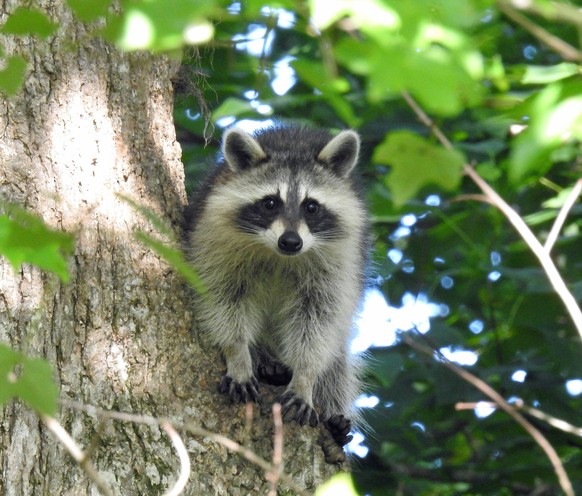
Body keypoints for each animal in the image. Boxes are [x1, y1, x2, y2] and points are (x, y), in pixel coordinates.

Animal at [185, 124, 372, 454]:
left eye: (311, 207)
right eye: (271, 202)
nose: (291, 242)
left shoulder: (340, 258)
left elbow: (320, 320)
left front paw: (305, 377)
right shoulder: (212, 236)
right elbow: (221, 298)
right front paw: (238, 353)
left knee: (337, 364)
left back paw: (333, 418)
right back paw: (265, 361)